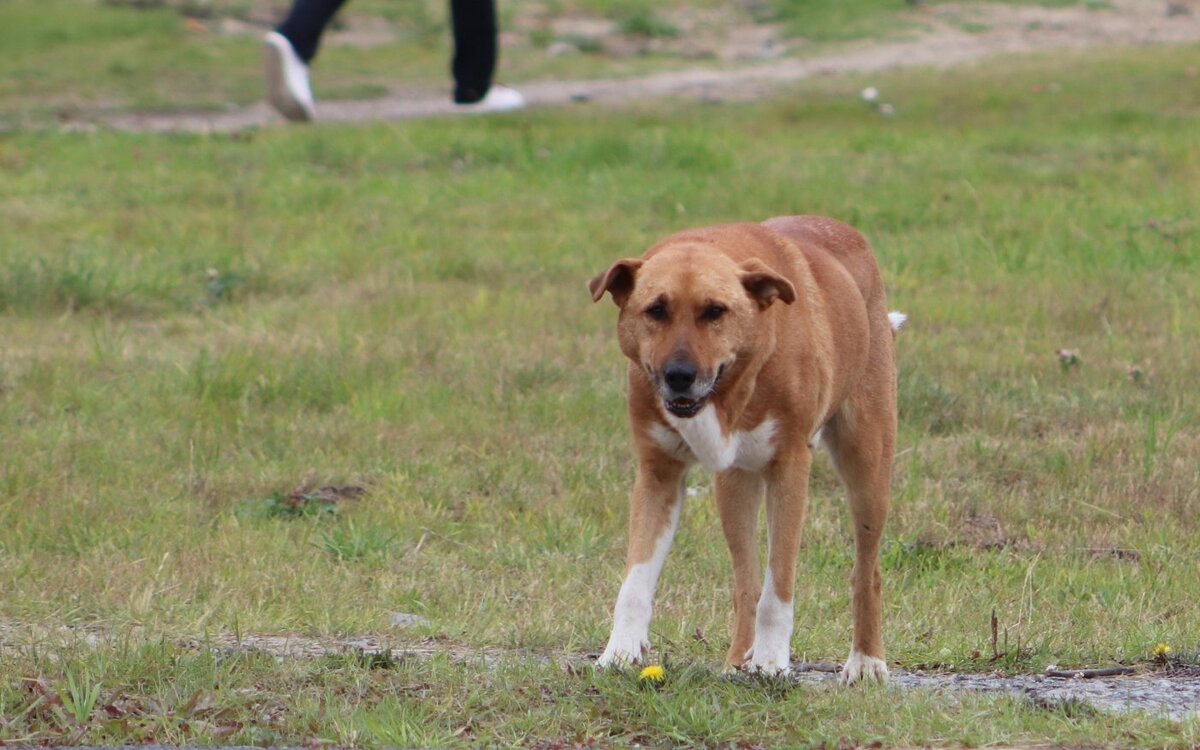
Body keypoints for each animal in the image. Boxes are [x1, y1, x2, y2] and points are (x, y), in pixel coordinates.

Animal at [590, 213, 902, 681]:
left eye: (715, 311)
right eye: (656, 310)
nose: (678, 376)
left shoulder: (789, 467)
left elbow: (779, 585)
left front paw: (773, 661)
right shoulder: (658, 473)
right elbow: (636, 579)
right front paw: (619, 653)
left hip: (867, 462)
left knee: (867, 570)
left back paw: (865, 662)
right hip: (733, 486)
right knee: (744, 579)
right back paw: (739, 660)